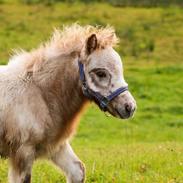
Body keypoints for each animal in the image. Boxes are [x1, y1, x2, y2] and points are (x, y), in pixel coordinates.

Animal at [0, 24, 136, 183]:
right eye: (101, 73)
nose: (130, 107)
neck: (39, 93)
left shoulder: (56, 146)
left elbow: (78, 171)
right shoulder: (23, 151)